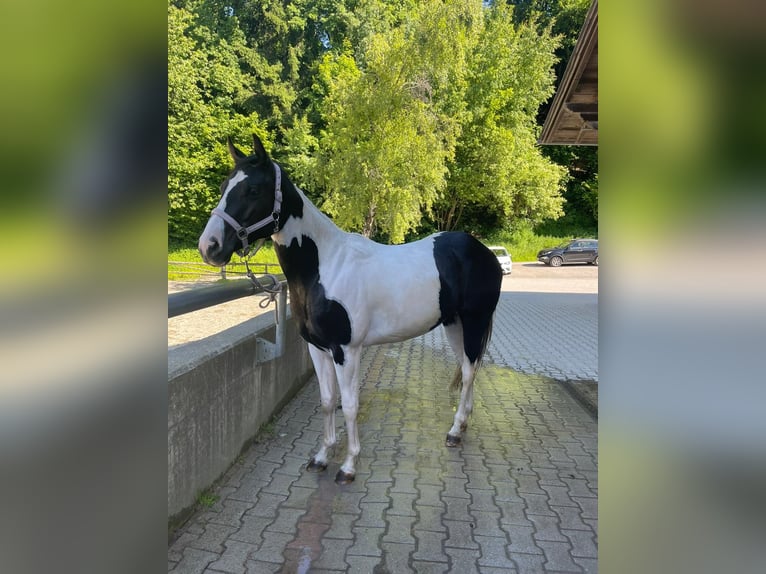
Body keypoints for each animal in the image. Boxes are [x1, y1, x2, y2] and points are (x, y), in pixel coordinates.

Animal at [199, 134, 502, 484]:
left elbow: (350, 404)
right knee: (468, 369)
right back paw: (460, 428)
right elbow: (328, 401)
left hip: (474, 321)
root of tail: (484, 252)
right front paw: (321, 457)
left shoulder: (347, 350)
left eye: (252, 190)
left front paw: (348, 465)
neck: (325, 266)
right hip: (454, 325)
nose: (209, 246)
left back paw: (454, 431)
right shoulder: (318, 349)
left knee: (468, 372)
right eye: (224, 186)